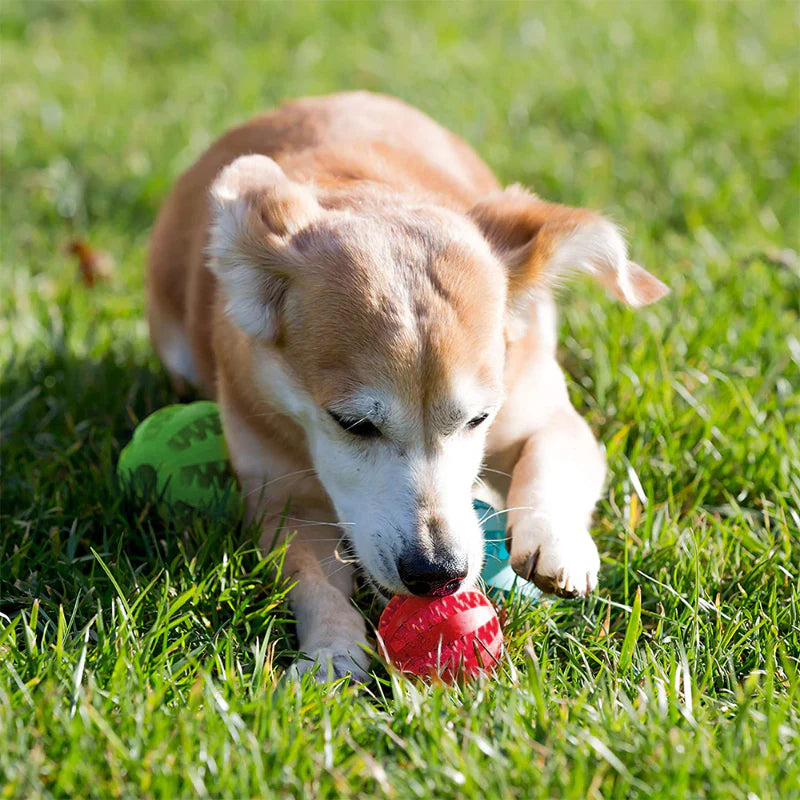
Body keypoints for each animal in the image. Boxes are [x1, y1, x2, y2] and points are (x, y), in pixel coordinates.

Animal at [145, 92, 668, 680]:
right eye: (352, 424)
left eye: (479, 419)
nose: (438, 574)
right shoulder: (283, 500)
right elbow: (311, 577)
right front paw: (331, 648)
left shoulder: (543, 411)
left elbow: (553, 452)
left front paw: (555, 541)